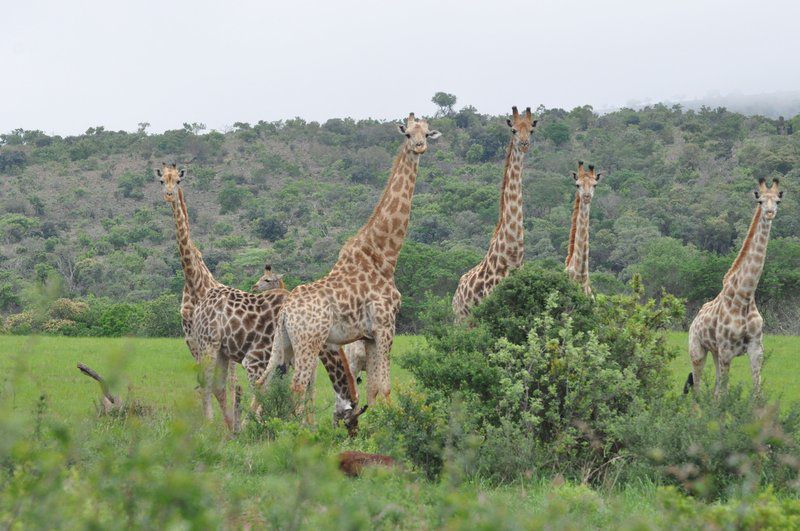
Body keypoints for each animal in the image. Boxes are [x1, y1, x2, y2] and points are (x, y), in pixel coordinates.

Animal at [159, 164, 360, 434]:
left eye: (177, 180)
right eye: (162, 180)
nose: (169, 194)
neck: (196, 283)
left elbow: (292, 386)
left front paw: (291, 423)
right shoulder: (256, 357)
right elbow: (270, 387)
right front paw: (268, 424)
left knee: (219, 385)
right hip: (211, 346)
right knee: (213, 384)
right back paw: (219, 425)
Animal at [262, 112, 440, 414]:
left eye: (426, 134)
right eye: (407, 134)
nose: (419, 147)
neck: (384, 255)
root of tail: (285, 311)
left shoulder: (367, 336)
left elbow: (373, 389)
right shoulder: (385, 324)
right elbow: (386, 387)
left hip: (282, 342)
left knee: (263, 381)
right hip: (309, 341)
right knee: (297, 386)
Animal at [454, 106, 536, 318]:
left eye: (531, 130)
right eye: (513, 130)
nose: (524, 144)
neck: (513, 256)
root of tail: (455, 296)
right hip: (461, 319)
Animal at [684, 179, 784, 400]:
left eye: (778, 201)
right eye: (760, 200)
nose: (770, 213)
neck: (745, 296)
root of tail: (694, 321)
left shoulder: (756, 347)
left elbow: (756, 391)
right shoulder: (726, 349)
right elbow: (724, 394)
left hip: (714, 352)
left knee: (713, 389)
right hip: (698, 350)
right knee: (697, 388)